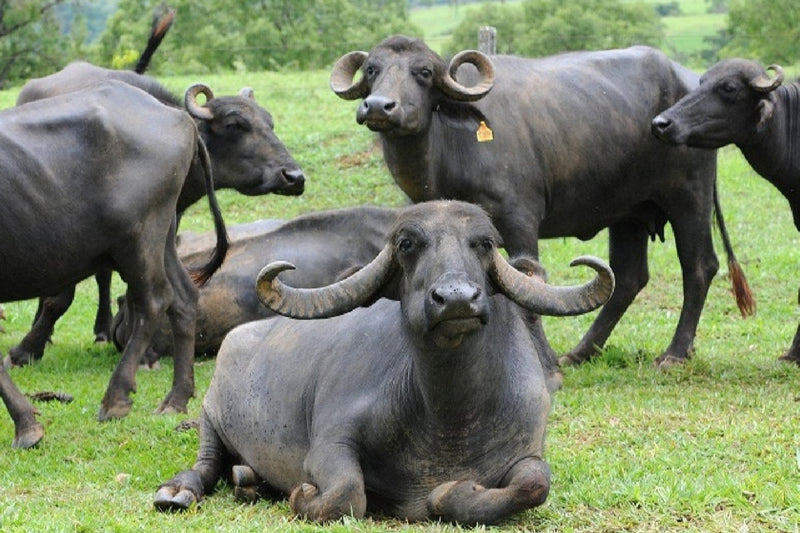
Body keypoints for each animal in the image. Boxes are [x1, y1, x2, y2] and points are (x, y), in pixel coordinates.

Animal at [0, 79, 228, 446]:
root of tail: (178, 118)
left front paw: (27, 426)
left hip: (137, 240)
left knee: (154, 301)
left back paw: (116, 399)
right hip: (161, 237)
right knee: (183, 298)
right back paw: (176, 399)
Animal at [150, 200, 612, 524]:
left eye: (484, 243)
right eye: (407, 244)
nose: (456, 299)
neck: (450, 416)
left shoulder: (529, 446)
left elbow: (535, 484)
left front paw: (448, 495)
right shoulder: (329, 444)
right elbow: (346, 492)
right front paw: (303, 494)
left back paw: (247, 482)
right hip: (212, 416)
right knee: (205, 463)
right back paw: (178, 492)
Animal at [328, 33, 752, 366]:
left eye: (424, 72)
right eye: (372, 70)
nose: (379, 107)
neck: (450, 150)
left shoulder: (520, 220)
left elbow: (528, 281)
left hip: (689, 197)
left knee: (699, 266)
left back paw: (675, 353)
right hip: (628, 213)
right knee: (628, 277)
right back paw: (582, 351)